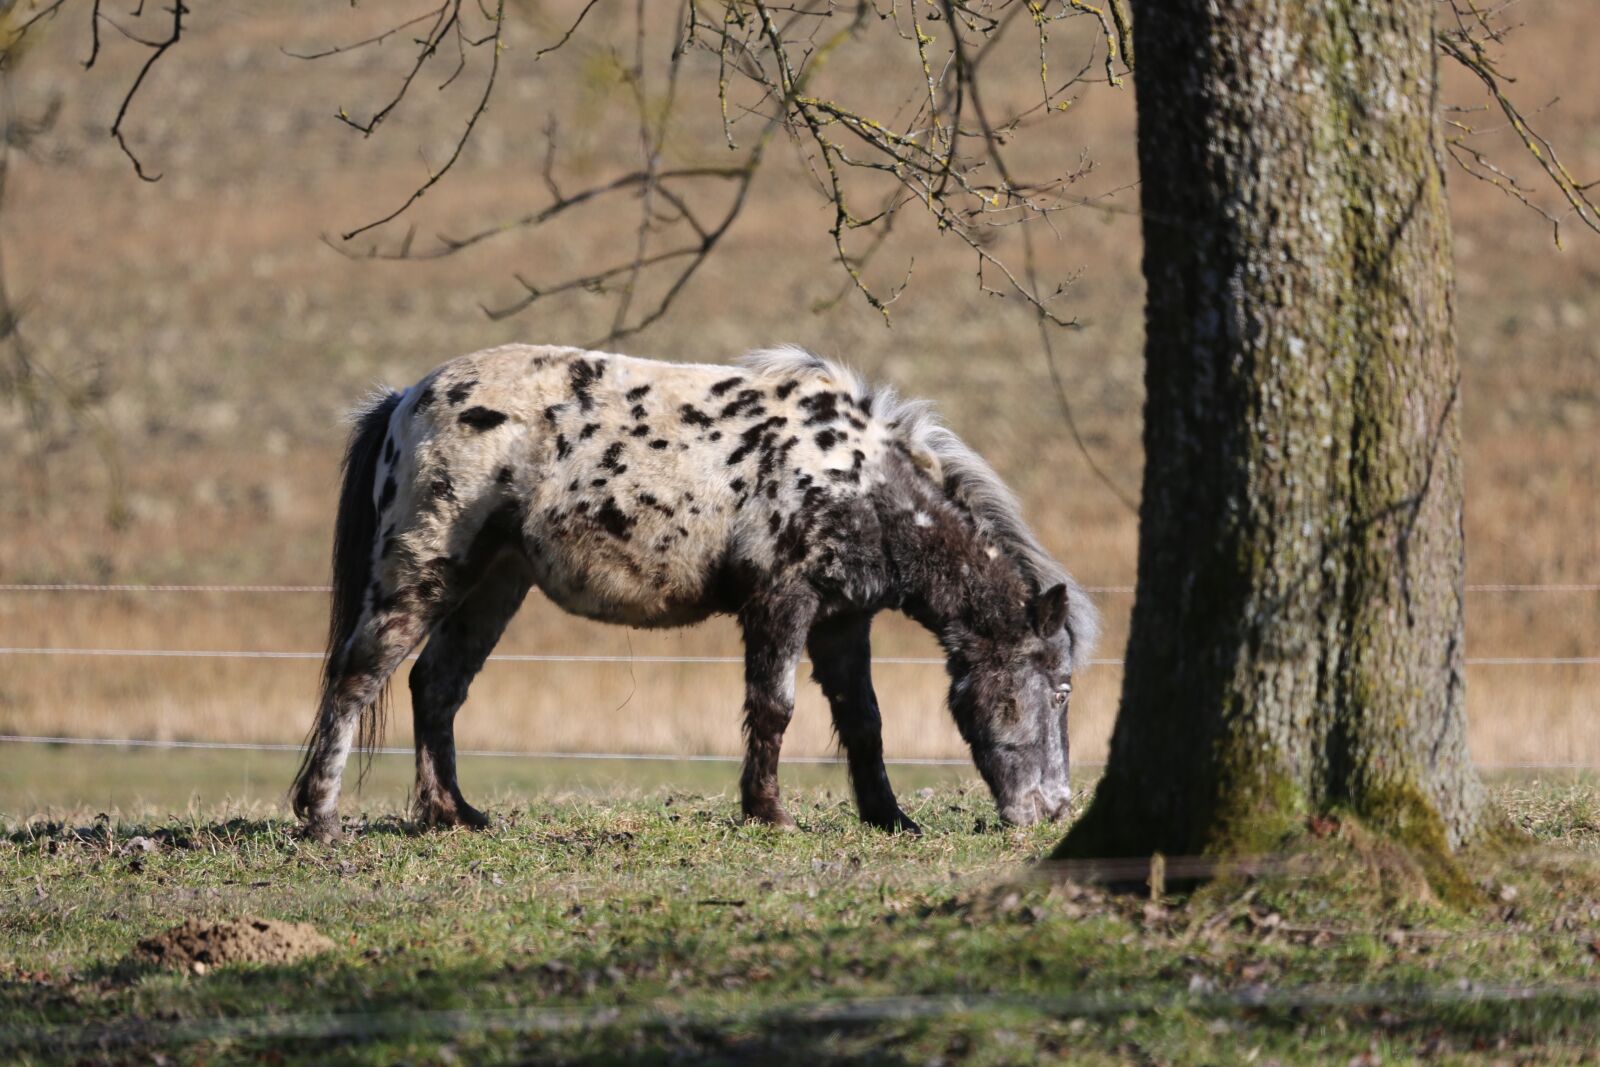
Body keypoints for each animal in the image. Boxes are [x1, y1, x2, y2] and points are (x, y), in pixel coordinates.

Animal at [290, 344, 1098, 840]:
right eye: (1059, 688)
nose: (1055, 808)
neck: (859, 482)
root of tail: (406, 397)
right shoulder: (781, 602)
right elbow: (774, 708)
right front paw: (769, 813)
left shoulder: (843, 621)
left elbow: (863, 720)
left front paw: (889, 816)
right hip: (423, 571)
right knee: (358, 676)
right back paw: (321, 818)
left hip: (494, 584)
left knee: (436, 686)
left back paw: (450, 813)